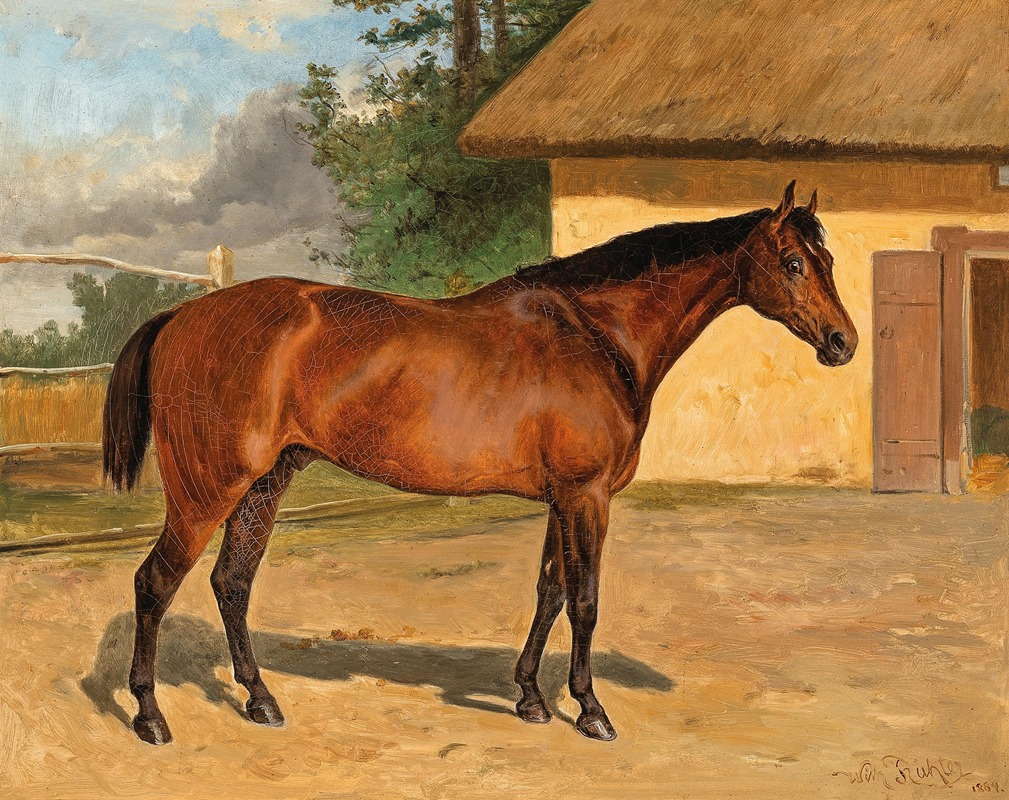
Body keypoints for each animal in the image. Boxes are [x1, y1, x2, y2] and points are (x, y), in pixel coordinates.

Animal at [103, 181, 857, 746]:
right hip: (207, 490)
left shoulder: (563, 499)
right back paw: (149, 716)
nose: (842, 342)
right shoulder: (587, 497)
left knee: (231, 582)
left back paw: (260, 701)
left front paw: (529, 698)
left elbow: (550, 591)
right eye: (794, 263)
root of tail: (183, 315)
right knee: (154, 583)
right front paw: (589, 710)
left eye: (826, 261)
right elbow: (585, 600)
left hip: (266, 481)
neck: (596, 334)